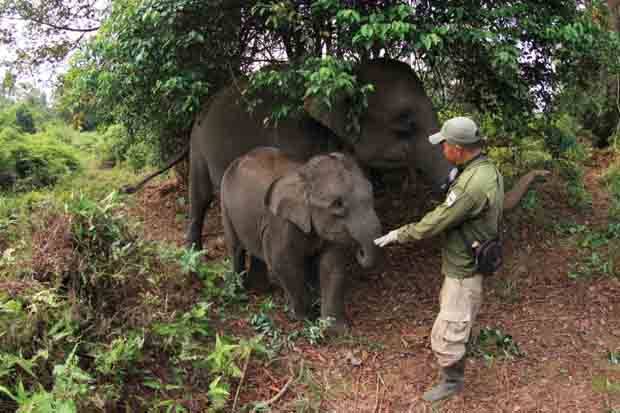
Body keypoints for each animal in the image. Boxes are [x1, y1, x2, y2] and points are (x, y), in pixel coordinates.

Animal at [126, 58, 544, 249]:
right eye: (405, 123)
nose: (542, 174)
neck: (342, 73)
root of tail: (201, 110)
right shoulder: (294, 140)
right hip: (200, 148)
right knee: (199, 196)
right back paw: (193, 252)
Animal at [220, 146, 380, 334]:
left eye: (371, 192)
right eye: (337, 204)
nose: (359, 250)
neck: (304, 175)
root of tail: (239, 158)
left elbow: (332, 266)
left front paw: (335, 329)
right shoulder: (281, 224)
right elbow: (282, 263)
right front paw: (304, 318)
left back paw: (262, 290)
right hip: (225, 202)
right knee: (236, 248)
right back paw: (240, 293)